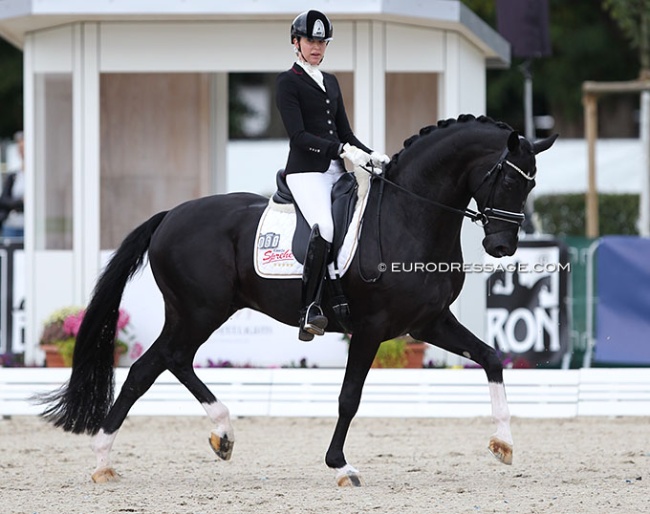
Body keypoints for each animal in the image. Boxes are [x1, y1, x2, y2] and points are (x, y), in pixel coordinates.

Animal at [37, 114, 557, 486]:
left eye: (531, 183)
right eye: (509, 180)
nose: (502, 248)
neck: (411, 214)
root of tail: (169, 215)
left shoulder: (427, 322)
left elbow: (491, 358)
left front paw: (503, 444)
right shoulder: (372, 327)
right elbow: (349, 397)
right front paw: (340, 466)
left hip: (201, 311)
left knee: (164, 363)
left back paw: (206, 439)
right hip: (199, 310)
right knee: (155, 364)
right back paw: (116, 457)